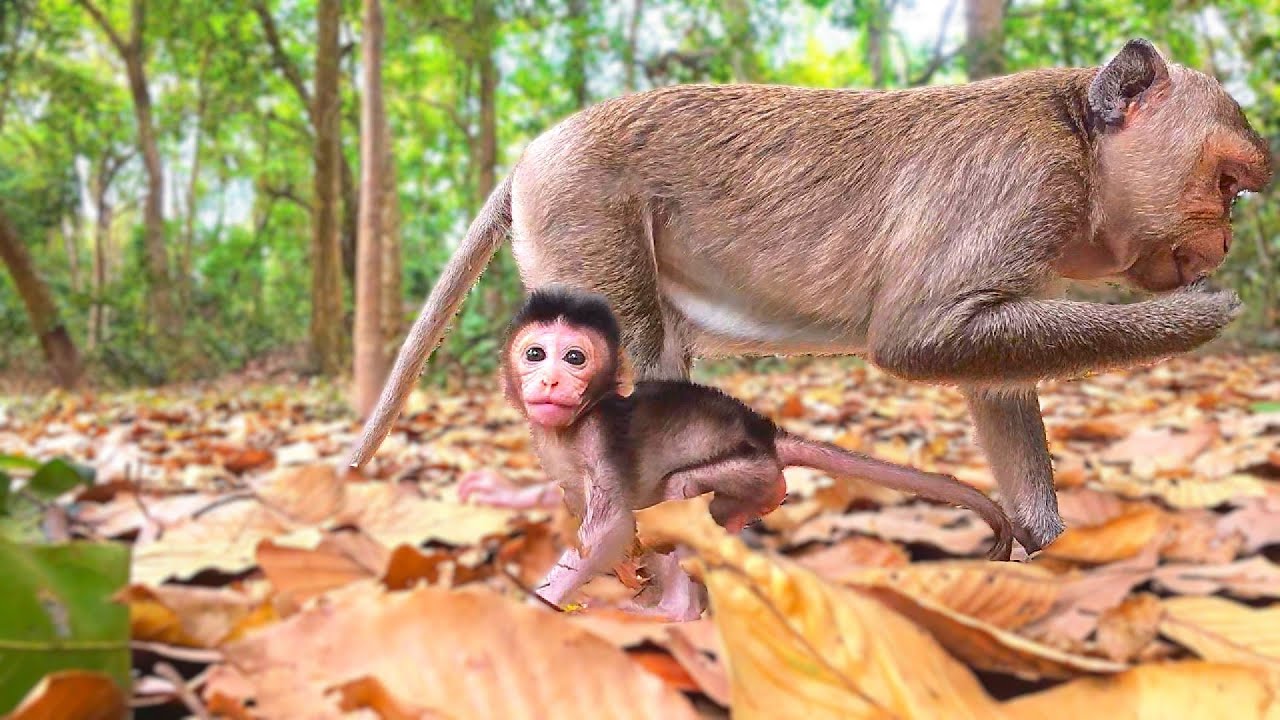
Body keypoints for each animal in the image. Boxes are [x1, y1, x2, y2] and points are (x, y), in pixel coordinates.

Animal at [348, 38, 1273, 554]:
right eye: (1226, 185)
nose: (1228, 241)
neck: (1078, 138)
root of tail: (531, 155)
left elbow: (990, 377)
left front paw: (1041, 546)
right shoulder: (1022, 183)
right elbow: (916, 338)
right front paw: (1200, 316)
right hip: (583, 210)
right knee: (633, 345)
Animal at [462, 286, 1016, 619]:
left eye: (575, 357)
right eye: (536, 354)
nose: (551, 380)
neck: (573, 426)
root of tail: (768, 436)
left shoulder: (599, 439)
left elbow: (610, 528)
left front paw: (534, 603)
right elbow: (563, 497)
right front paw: (498, 492)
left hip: (753, 474)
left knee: (678, 491)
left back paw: (675, 613)